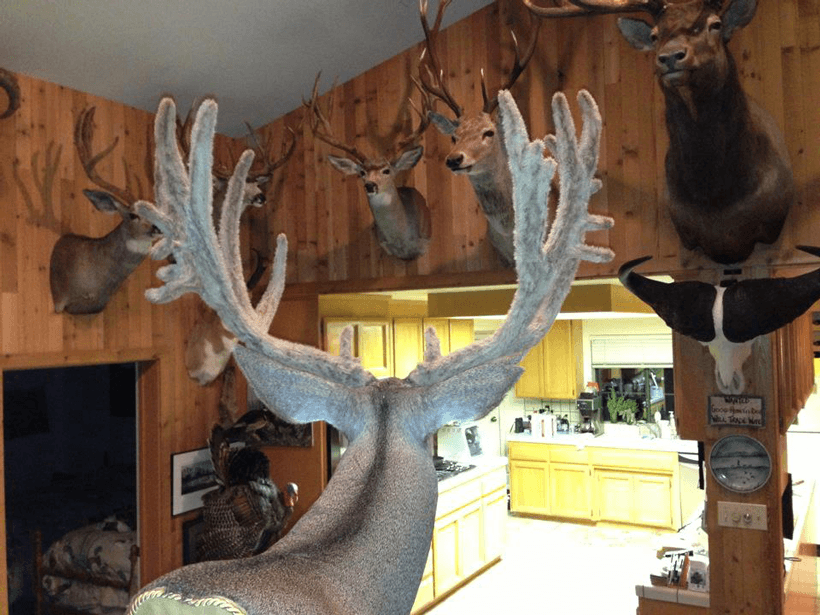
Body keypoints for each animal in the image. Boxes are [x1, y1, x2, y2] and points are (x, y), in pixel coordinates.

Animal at [524, 0, 795, 265]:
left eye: (716, 24)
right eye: (655, 35)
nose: (671, 56)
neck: (716, 199)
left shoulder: (771, 224)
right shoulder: (686, 236)